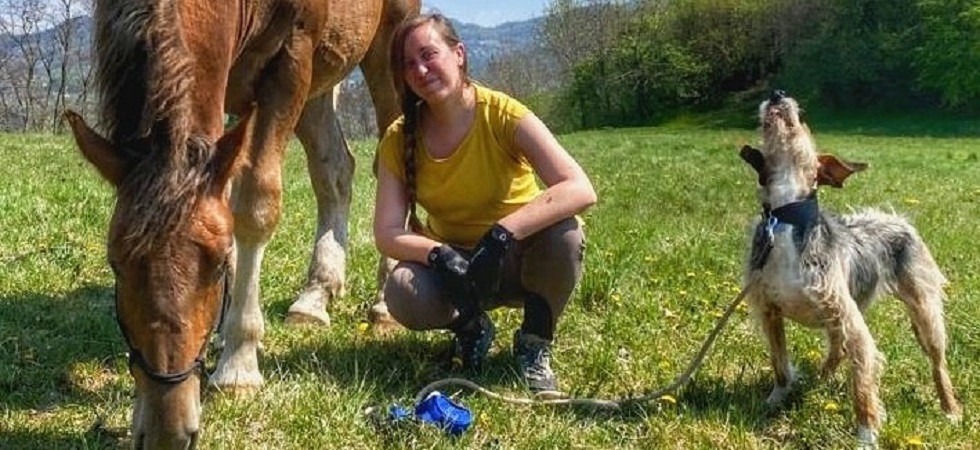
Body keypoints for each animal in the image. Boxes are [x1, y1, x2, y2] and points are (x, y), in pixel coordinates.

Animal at [64, 0, 419, 447]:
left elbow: (254, 206)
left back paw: (385, 304)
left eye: (216, 267)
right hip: (323, 76)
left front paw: (238, 364)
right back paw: (315, 295)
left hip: (386, 48)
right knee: (334, 170)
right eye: (116, 265)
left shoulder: (290, 60)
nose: (167, 432)